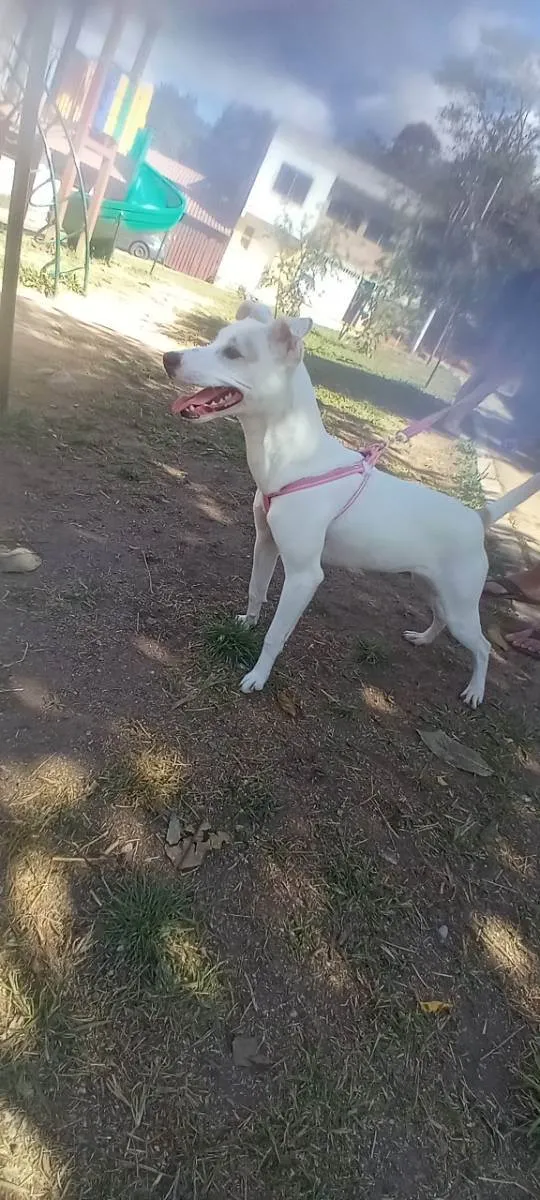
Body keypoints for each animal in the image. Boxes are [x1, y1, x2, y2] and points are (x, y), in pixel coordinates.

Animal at [163, 300, 540, 705]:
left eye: (233, 353)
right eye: (217, 340)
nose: (169, 358)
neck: (293, 457)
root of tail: (478, 517)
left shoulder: (304, 576)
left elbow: (275, 635)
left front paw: (257, 676)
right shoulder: (265, 543)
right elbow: (255, 592)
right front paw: (246, 624)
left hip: (460, 604)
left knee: (483, 647)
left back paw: (474, 691)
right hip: (431, 587)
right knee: (441, 619)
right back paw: (423, 638)